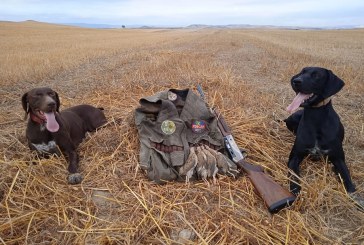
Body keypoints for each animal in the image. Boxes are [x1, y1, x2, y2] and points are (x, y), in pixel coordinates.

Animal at [284, 66, 356, 195]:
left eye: (316, 75)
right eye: (302, 72)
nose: (296, 81)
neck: (316, 119)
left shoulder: (338, 158)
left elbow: (346, 176)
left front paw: (352, 193)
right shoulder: (294, 157)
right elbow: (294, 175)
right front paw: (295, 190)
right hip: (292, 119)